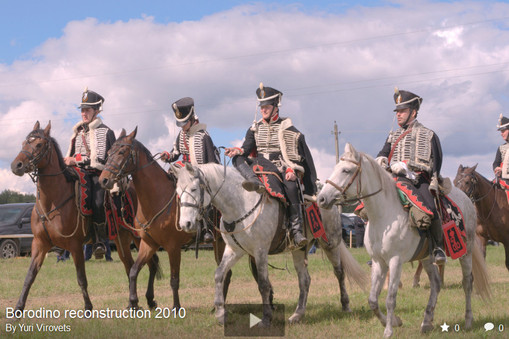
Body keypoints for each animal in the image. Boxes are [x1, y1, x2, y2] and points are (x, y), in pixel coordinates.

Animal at [10, 121, 160, 312]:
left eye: (38, 145)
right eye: (24, 143)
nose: (16, 165)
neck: (52, 202)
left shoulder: (75, 246)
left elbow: (81, 278)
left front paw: (88, 307)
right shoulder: (39, 244)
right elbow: (29, 276)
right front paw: (17, 309)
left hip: (140, 238)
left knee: (150, 263)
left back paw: (148, 300)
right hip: (122, 240)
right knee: (130, 266)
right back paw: (134, 304)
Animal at [97, 127, 234, 310]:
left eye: (121, 152)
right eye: (109, 152)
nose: (104, 180)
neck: (156, 199)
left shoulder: (173, 247)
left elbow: (174, 279)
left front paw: (176, 307)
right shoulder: (148, 244)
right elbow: (134, 271)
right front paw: (133, 302)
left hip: (220, 242)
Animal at [173, 163, 368, 328]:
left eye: (193, 188)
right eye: (177, 191)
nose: (185, 224)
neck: (241, 204)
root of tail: (325, 198)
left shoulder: (260, 252)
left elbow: (263, 284)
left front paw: (266, 318)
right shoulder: (234, 251)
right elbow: (219, 274)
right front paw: (221, 314)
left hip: (330, 244)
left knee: (339, 272)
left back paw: (345, 306)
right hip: (299, 250)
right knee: (304, 280)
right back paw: (297, 315)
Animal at [318, 144, 488, 339]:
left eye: (346, 170)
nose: (321, 198)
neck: (384, 215)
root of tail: (467, 200)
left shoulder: (395, 261)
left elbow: (390, 298)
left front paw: (388, 330)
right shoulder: (379, 262)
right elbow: (373, 300)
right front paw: (394, 321)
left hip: (466, 252)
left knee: (467, 283)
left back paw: (468, 320)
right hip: (427, 258)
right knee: (436, 284)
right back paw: (426, 321)